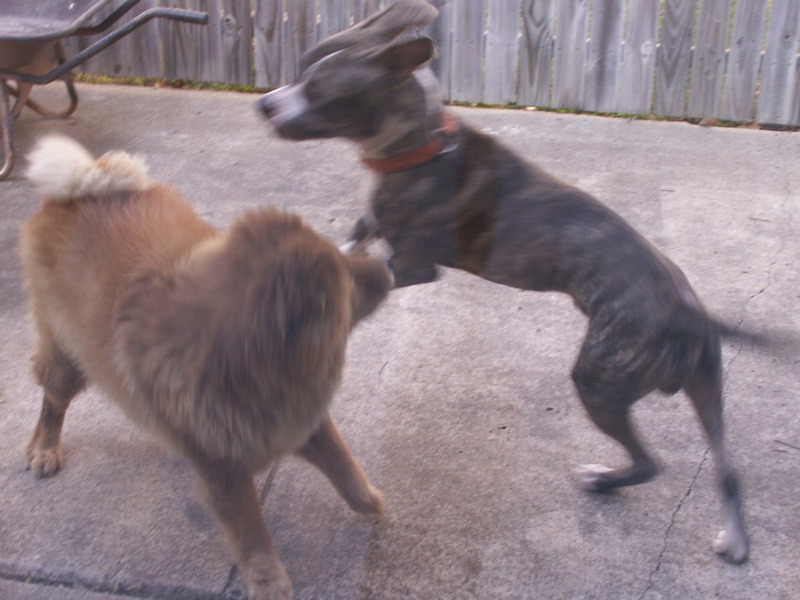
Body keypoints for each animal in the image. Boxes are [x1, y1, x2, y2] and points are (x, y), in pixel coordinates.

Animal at [18, 136, 394, 600]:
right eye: (346, 278)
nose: (389, 265)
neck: (245, 360)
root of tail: (79, 191)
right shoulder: (223, 469)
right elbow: (252, 535)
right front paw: (269, 581)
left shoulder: (300, 416)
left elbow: (343, 463)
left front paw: (367, 500)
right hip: (68, 358)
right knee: (53, 400)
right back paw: (44, 448)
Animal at [260, 0, 752, 564]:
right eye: (301, 72)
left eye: (322, 92)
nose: (265, 105)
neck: (420, 144)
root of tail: (691, 313)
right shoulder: (370, 226)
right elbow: (346, 245)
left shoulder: (413, 265)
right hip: (706, 388)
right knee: (726, 468)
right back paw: (732, 535)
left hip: (600, 378)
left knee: (651, 461)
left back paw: (604, 481)